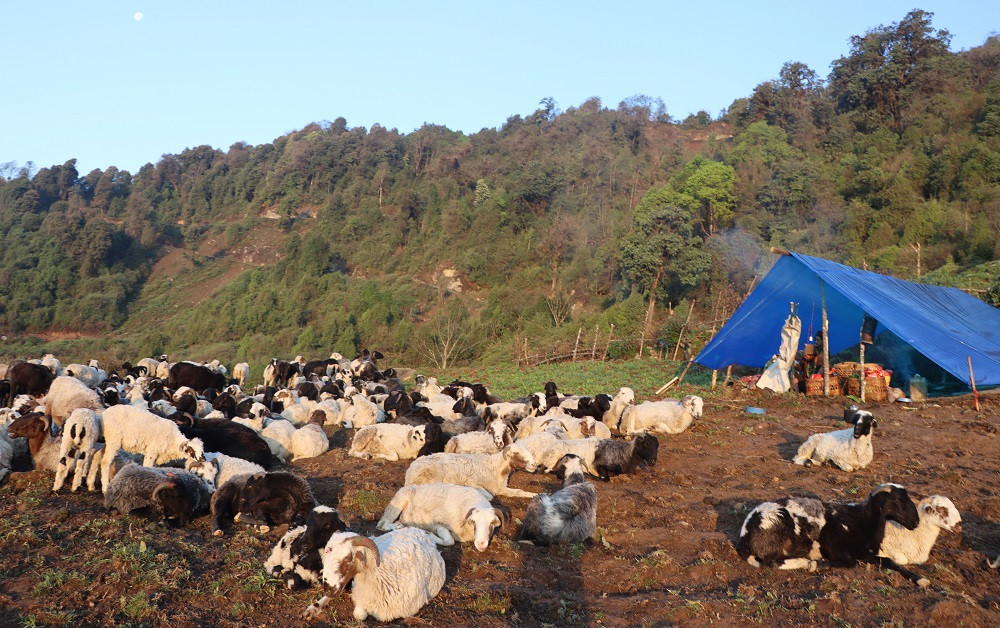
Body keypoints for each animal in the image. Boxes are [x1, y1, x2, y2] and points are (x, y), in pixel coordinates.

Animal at [300, 528, 446, 624]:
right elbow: (358, 613)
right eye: (326, 553)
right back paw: (311, 610)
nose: (328, 589)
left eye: (348, 557)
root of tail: (420, 531)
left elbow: (360, 615)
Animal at [376, 480, 508, 548]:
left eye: (492, 523)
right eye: (474, 522)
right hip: (399, 501)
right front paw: (429, 535)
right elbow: (449, 541)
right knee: (382, 524)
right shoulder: (437, 524)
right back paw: (397, 526)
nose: (481, 543)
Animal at [404, 444, 540, 498]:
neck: (494, 468)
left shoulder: (500, 488)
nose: (534, 464)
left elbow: (518, 491)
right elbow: (489, 495)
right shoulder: (475, 483)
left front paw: (533, 495)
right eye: (516, 453)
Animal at [732, 484, 924, 588]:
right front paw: (820, 564)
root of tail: (744, 536)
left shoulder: (864, 552)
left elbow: (889, 561)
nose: (916, 522)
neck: (862, 520)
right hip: (778, 526)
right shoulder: (835, 544)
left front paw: (920, 579)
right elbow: (851, 563)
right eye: (899, 500)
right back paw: (807, 562)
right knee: (772, 563)